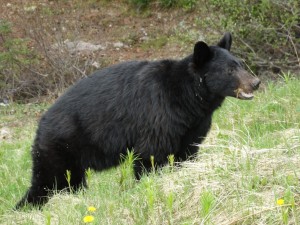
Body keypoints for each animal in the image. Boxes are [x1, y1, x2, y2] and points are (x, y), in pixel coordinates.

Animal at [15, 32, 260, 208]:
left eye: (240, 63)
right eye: (229, 70)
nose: (255, 82)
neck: (189, 98)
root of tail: (41, 123)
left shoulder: (192, 126)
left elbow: (187, 152)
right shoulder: (158, 115)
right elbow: (150, 155)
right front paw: (149, 185)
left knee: (69, 183)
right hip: (61, 147)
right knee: (46, 182)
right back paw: (26, 207)